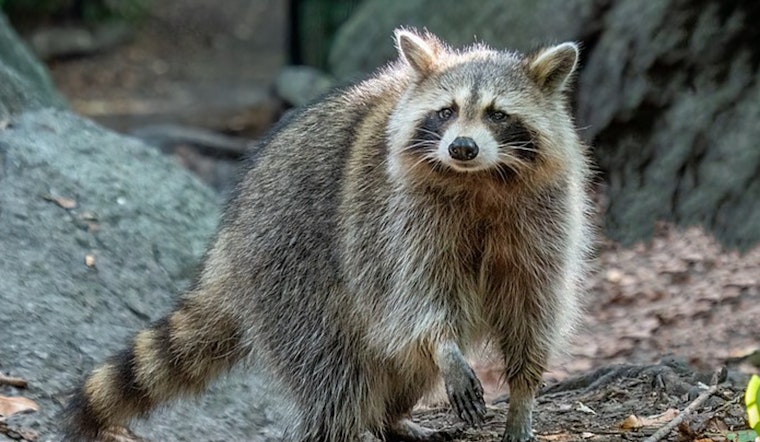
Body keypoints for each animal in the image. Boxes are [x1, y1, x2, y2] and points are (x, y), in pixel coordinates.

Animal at [62, 28, 592, 442]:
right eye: (446, 111)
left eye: (497, 114)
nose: (462, 147)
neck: (480, 180)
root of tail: (229, 242)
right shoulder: (397, 218)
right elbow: (417, 295)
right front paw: (445, 346)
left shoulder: (544, 217)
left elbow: (533, 304)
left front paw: (523, 393)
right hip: (290, 266)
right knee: (331, 364)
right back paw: (348, 423)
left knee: (397, 363)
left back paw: (390, 417)